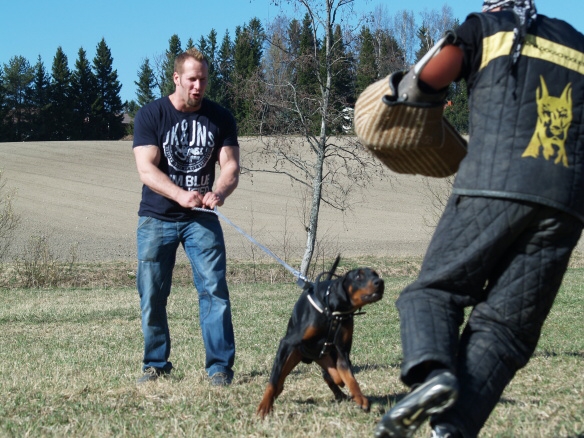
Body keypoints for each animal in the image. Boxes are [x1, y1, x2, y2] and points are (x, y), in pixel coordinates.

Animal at [256, 256, 384, 418]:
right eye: (358, 276)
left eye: (376, 274)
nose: (380, 282)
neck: (333, 311)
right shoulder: (286, 343)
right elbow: (273, 380)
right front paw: (264, 406)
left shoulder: (342, 351)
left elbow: (349, 376)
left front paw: (360, 398)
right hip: (293, 355)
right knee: (281, 378)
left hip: (324, 354)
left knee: (330, 375)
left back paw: (340, 392)